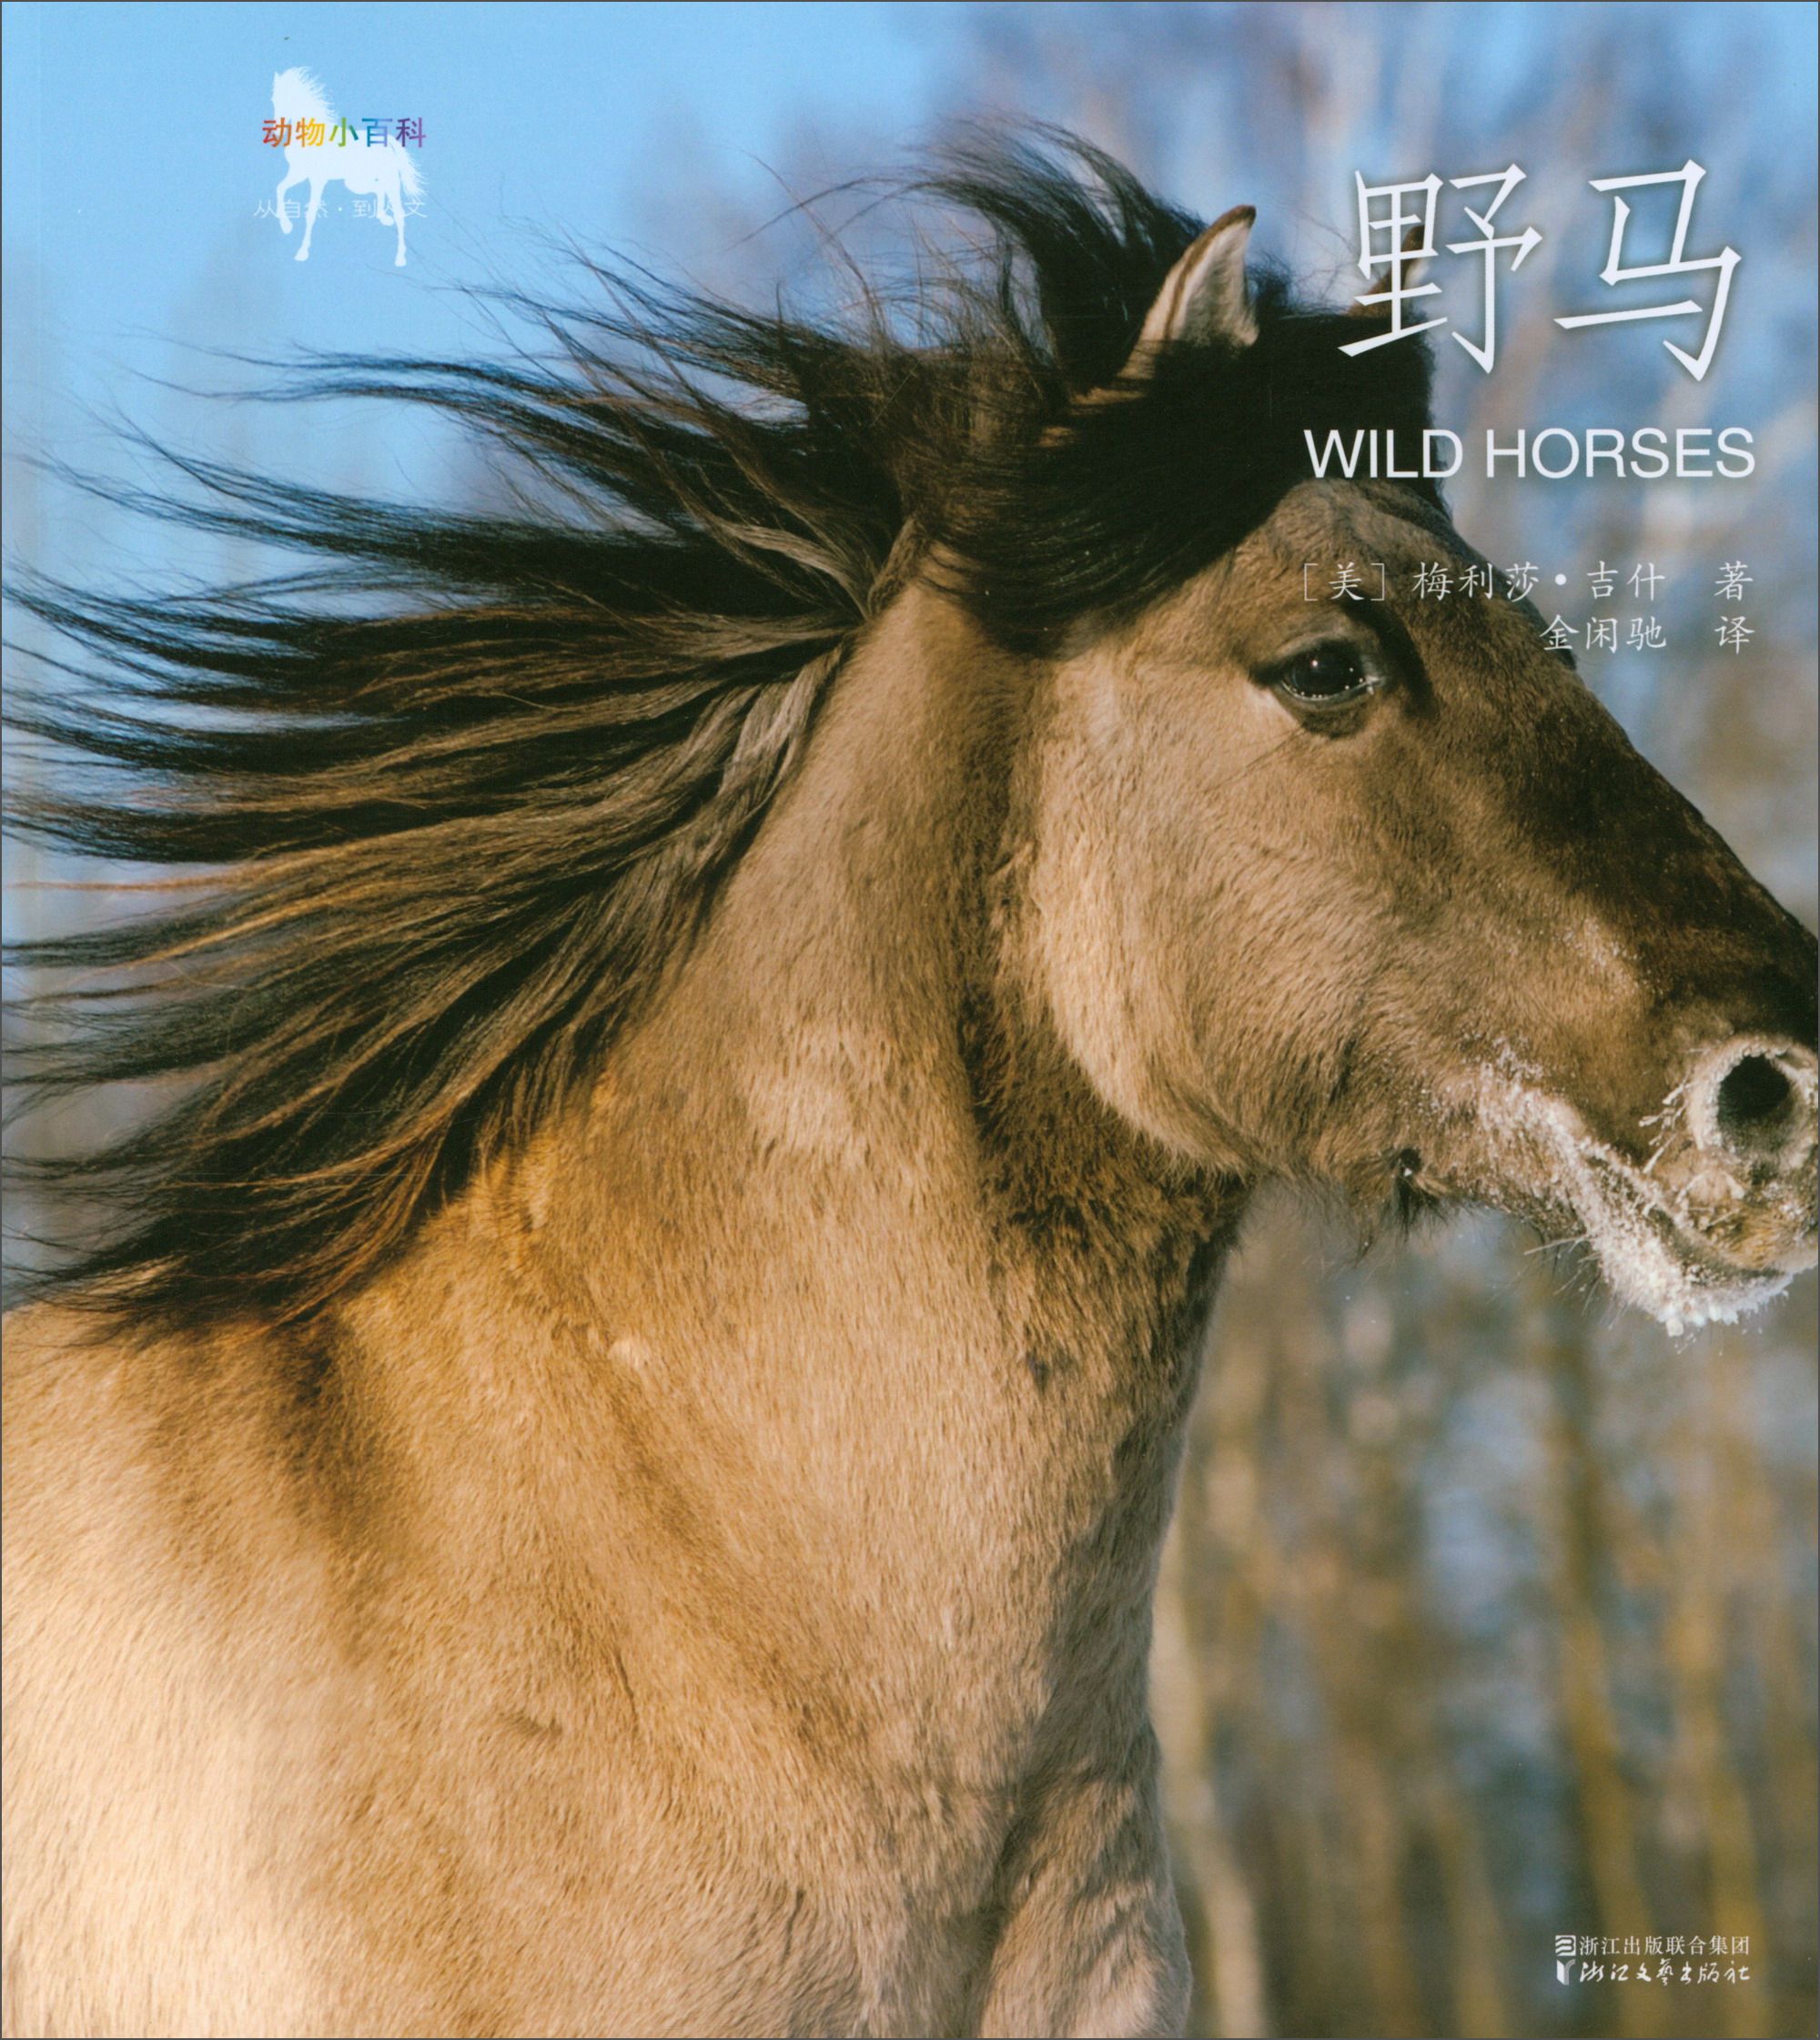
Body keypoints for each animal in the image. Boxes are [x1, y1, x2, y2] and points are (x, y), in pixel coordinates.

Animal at [268, 66, 423, 267]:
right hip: (357, 182)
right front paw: (286, 227)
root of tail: (388, 142)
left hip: (387, 179)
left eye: (289, 99)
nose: (276, 131)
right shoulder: (299, 173)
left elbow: (310, 211)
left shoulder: (318, 179)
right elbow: (280, 189)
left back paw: (400, 257)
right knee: (379, 189)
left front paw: (302, 252)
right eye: (274, 99)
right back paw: (383, 218)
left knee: (399, 212)